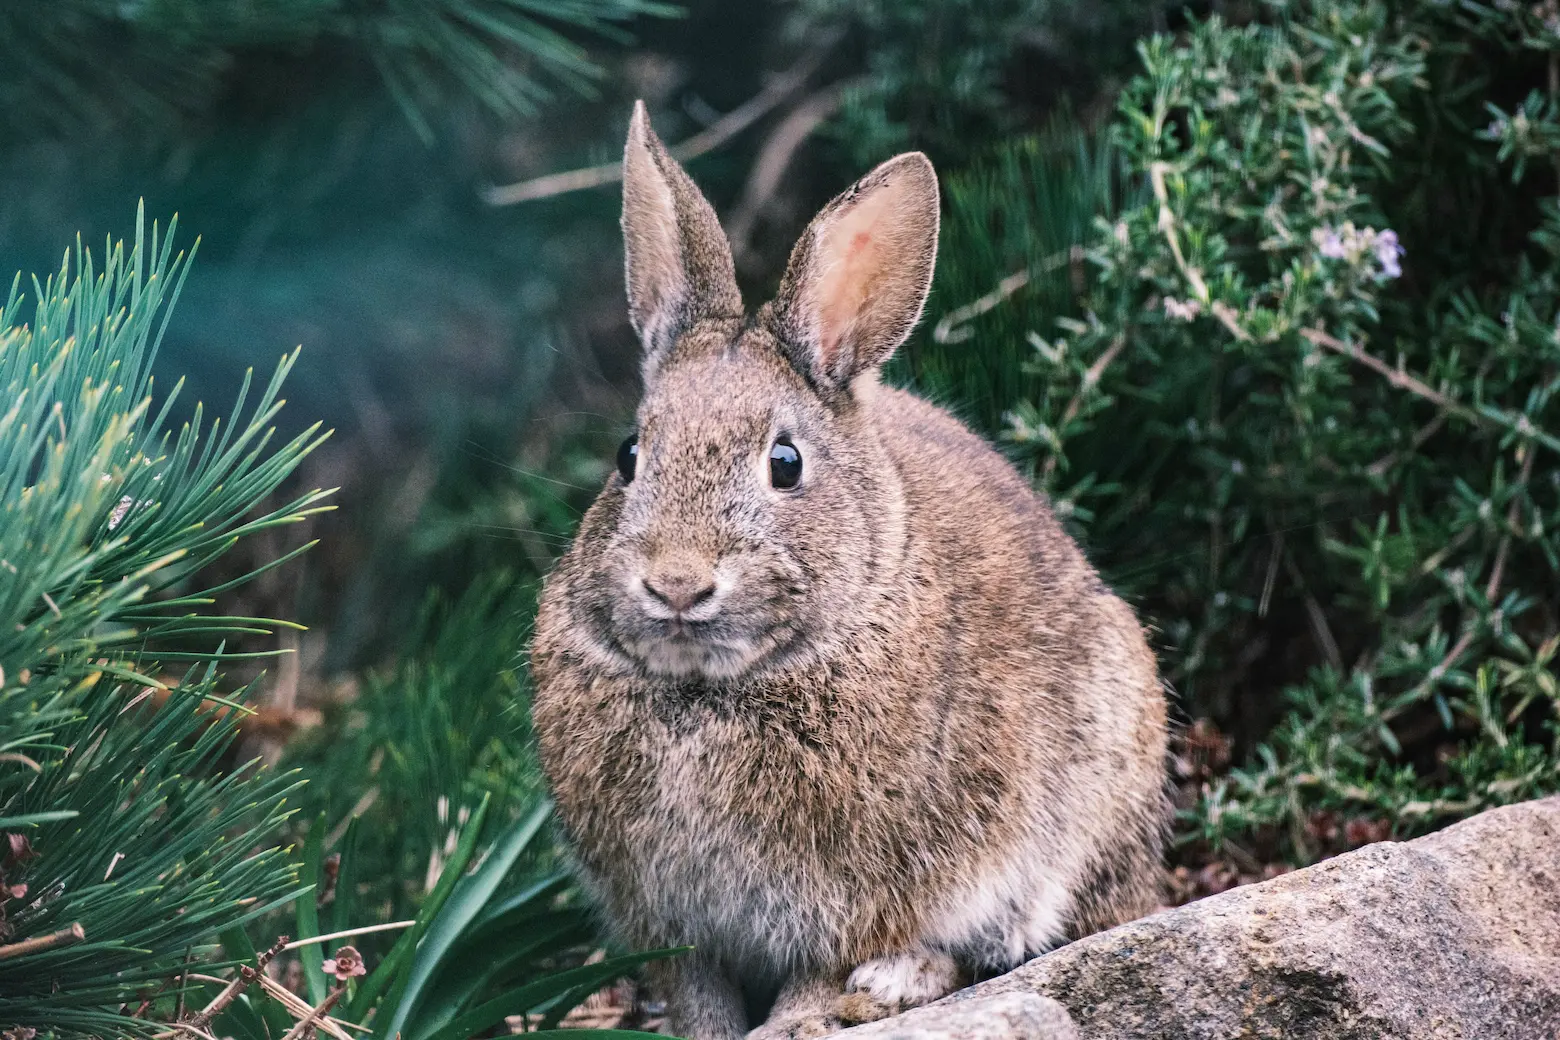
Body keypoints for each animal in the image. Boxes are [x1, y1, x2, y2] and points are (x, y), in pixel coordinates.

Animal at [530, 99, 1166, 1040]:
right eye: (629, 455)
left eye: (785, 463)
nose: (676, 583)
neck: (707, 691)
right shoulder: (670, 918)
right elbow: (697, 988)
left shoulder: (856, 895)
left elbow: (818, 970)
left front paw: (794, 1023)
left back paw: (894, 983)